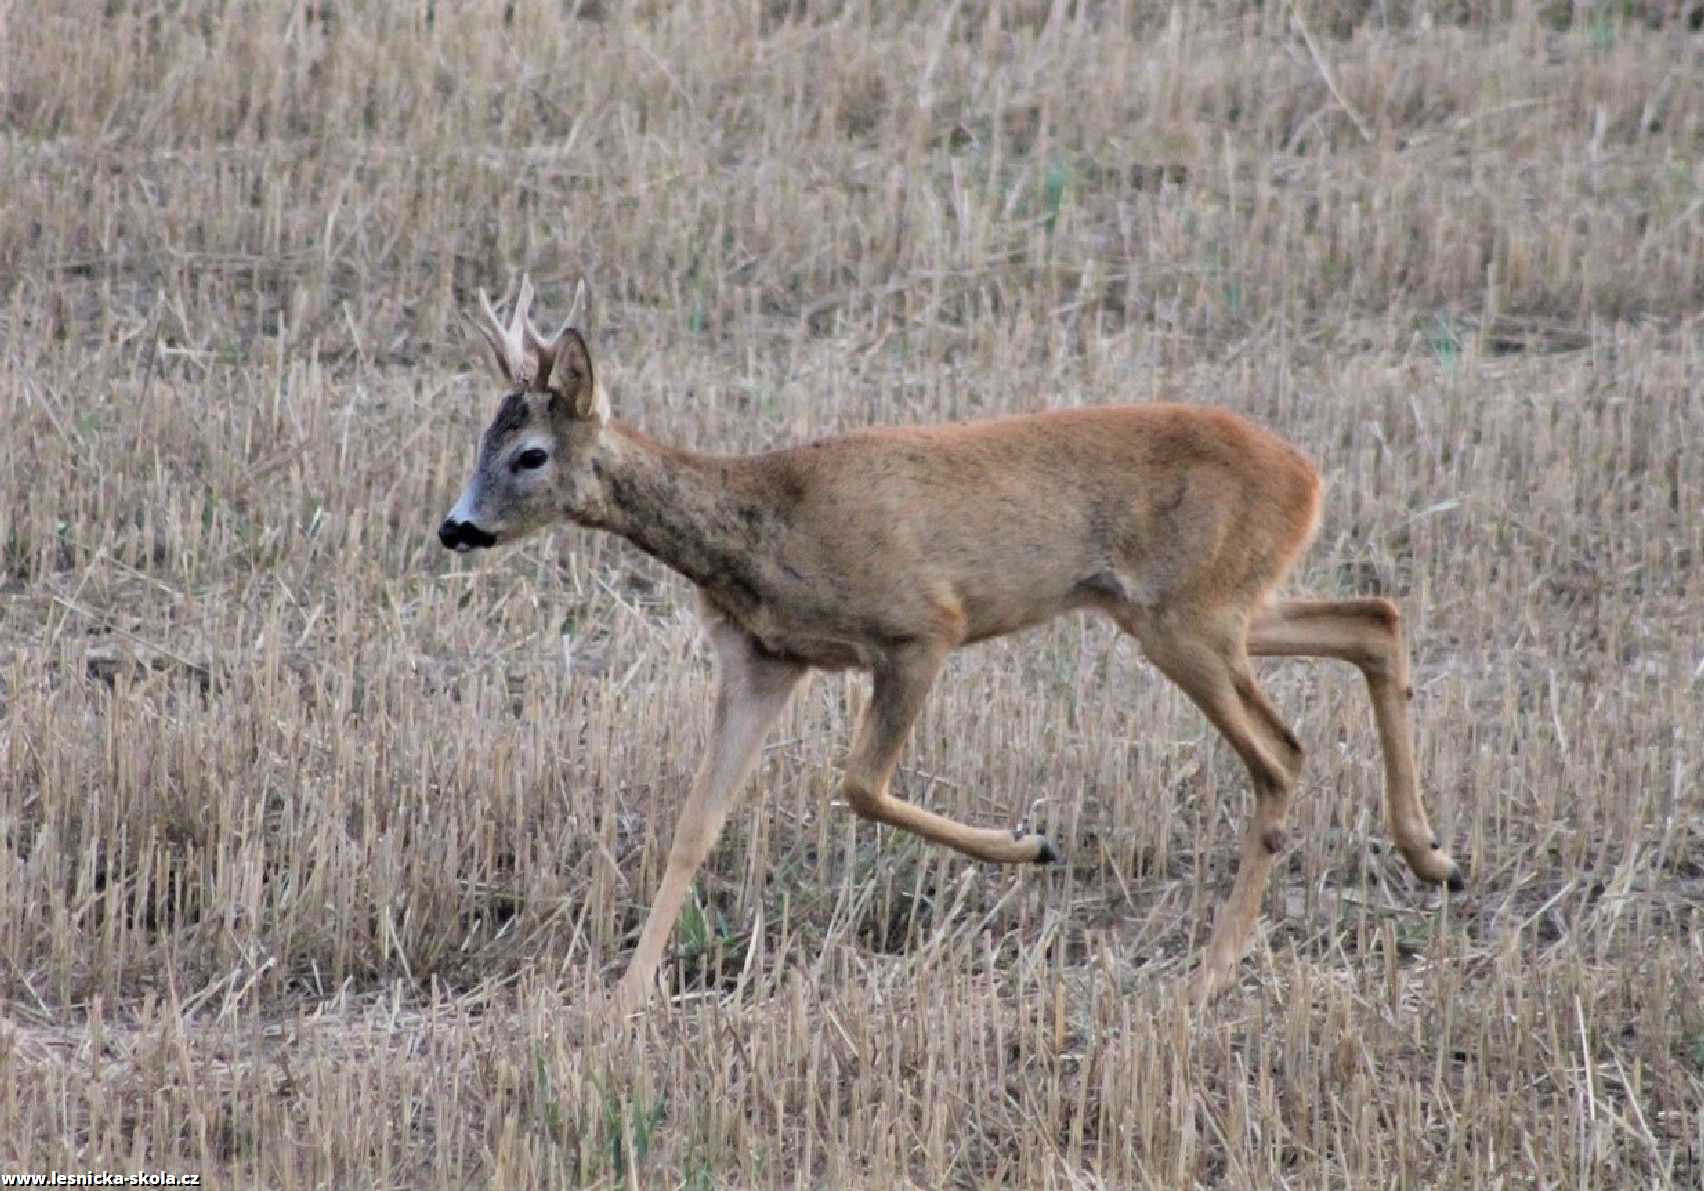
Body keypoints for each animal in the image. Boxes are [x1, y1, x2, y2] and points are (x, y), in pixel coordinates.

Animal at [439, 281, 1465, 1015]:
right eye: (482, 438)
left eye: (529, 453)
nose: (456, 527)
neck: (764, 524)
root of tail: (1308, 474)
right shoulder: (762, 656)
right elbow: (697, 825)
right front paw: (620, 1003)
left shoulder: (921, 626)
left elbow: (859, 784)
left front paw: (1031, 843)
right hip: (1211, 605)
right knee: (1375, 618)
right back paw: (1431, 856)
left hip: (1190, 618)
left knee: (1284, 752)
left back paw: (1212, 972)